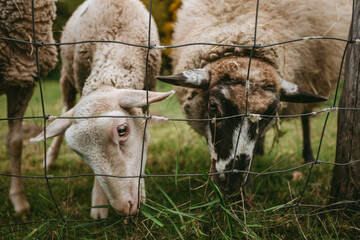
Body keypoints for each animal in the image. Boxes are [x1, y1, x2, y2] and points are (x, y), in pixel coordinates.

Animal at [30, 0, 174, 219]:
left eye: (122, 130)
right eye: (79, 152)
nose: (124, 207)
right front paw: (99, 204)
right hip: (67, 77)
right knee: (65, 109)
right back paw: (50, 158)